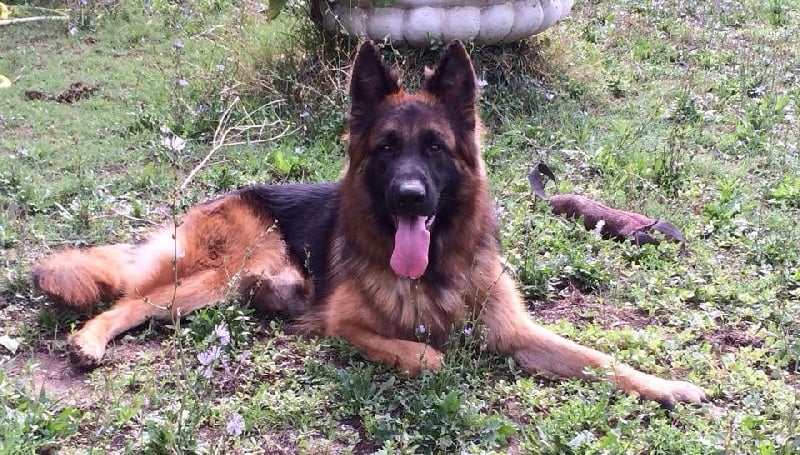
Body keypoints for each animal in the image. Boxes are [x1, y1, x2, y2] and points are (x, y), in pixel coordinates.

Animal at [31, 41, 705, 407]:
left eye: (434, 148)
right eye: (384, 149)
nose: (409, 197)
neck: (433, 273)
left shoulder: (516, 332)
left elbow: (598, 358)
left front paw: (668, 386)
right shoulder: (344, 325)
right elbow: (424, 354)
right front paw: (428, 354)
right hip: (211, 278)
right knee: (129, 303)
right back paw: (89, 340)